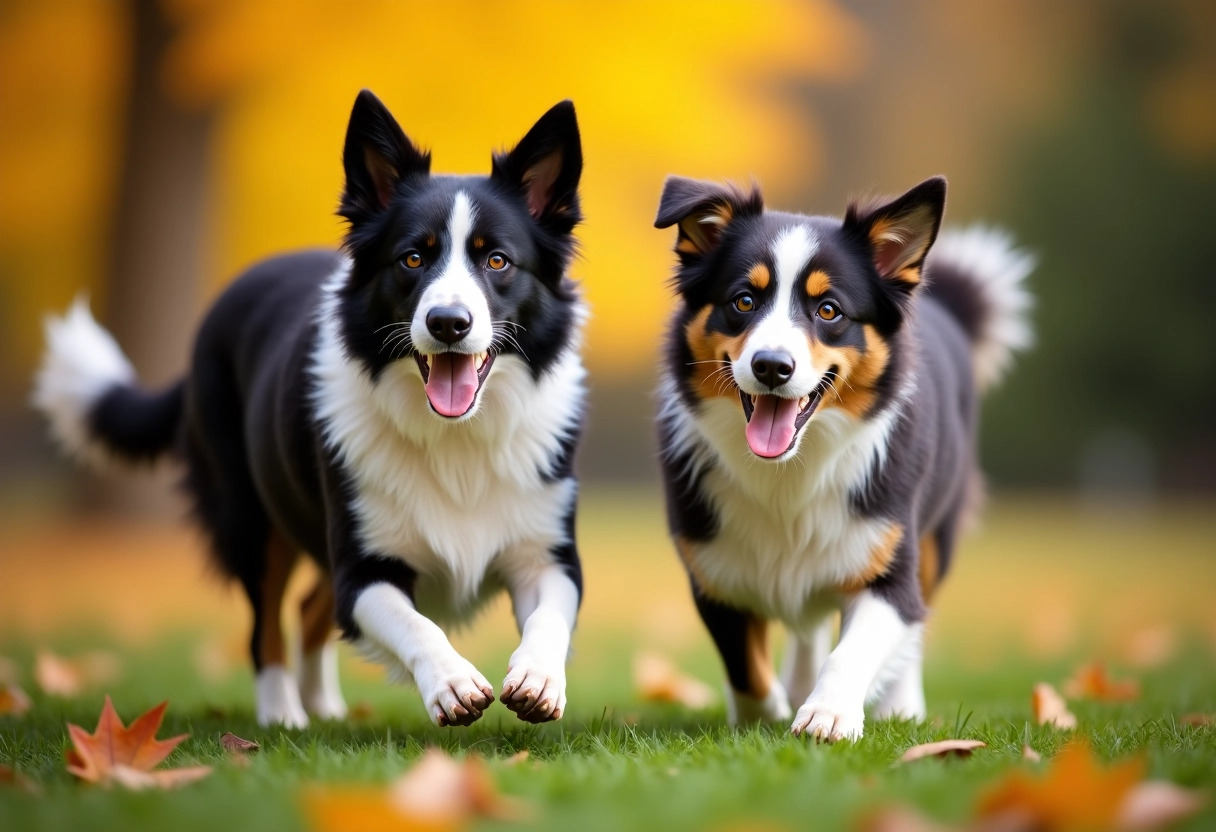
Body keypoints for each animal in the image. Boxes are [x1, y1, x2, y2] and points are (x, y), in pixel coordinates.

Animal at [35, 91, 586, 729]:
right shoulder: (363, 566)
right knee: (268, 626)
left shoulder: (549, 556)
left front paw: (539, 678)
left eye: (497, 261)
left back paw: (323, 708)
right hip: (252, 521)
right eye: (412, 259)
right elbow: (414, 624)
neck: (456, 439)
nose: (448, 323)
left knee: (308, 608)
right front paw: (451, 683)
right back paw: (283, 718)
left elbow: (549, 616)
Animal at [651, 175, 1031, 739]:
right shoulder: (713, 571)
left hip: (935, 536)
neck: (789, 472)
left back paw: (900, 703)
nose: (771, 367)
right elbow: (744, 666)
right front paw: (765, 711)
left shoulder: (888, 564)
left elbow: (858, 647)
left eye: (828, 309)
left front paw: (828, 714)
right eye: (743, 301)